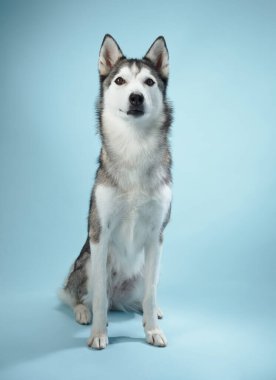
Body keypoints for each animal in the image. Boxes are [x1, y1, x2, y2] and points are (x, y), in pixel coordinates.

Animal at [58, 34, 172, 348]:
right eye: (120, 81)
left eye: (149, 82)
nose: (136, 97)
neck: (134, 146)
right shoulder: (100, 233)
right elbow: (99, 297)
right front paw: (99, 333)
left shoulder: (156, 235)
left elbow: (151, 294)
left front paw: (152, 330)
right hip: (86, 261)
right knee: (81, 295)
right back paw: (83, 311)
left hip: (144, 268)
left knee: (142, 295)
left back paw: (150, 311)